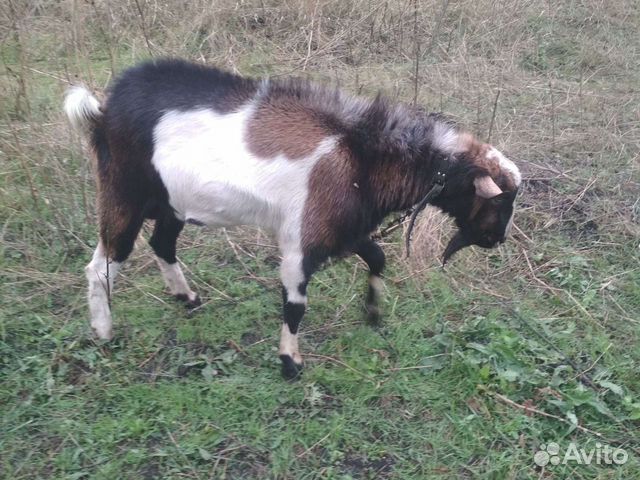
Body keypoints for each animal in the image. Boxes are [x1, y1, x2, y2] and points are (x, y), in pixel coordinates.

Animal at [63, 59, 520, 378]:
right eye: (497, 204)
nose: (497, 240)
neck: (361, 157)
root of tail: (104, 110)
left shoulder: (343, 227)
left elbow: (377, 259)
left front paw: (372, 311)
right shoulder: (304, 238)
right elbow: (296, 304)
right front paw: (290, 362)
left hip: (172, 202)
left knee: (162, 244)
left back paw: (187, 298)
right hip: (123, 191)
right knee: (101, 265)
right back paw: (104, 332)